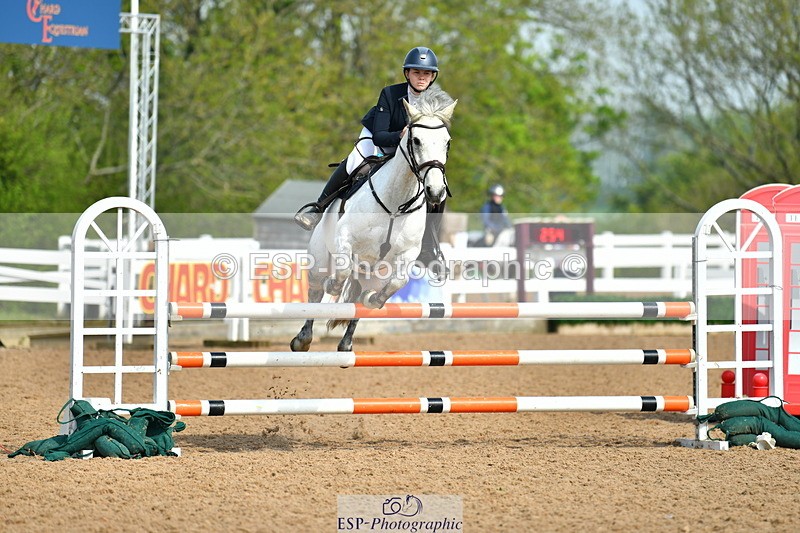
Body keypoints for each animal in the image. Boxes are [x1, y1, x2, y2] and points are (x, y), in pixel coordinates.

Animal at [291, 87, 457, 352]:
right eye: (416, 140)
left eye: (447, 142)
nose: (435, 191)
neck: (395, 204)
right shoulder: (345, 237)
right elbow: (342, 271)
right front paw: (334, 286)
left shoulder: (407, 253)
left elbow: (397, 283)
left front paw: (375, 300)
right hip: (320, 259)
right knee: (315, 292)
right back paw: (303, 339)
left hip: (374, 274)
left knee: (360, 302)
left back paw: (347, 344)